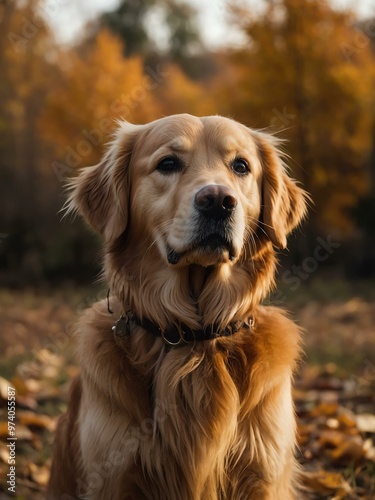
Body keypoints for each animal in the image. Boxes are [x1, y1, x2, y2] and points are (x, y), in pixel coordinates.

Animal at [46, 114, 308, 500]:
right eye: (167, 164)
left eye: (241, 166)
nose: (218, 201)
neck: (195, 337)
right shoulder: (113, 474)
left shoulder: (263, 474)